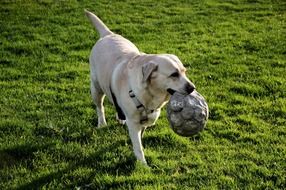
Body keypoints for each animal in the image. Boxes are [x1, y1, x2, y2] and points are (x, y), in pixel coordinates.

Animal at [85, 10, 196, 165]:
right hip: (96, 88)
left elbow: (141, 136)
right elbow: (137, 146)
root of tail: (108, 34)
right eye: (174, 74)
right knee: (99, 106)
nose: (192, 87)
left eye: (184, 71)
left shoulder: (146, 120)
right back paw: (102, 123)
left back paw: (120, 118)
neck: (149, 95)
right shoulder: (133, 123)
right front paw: (143, 165)